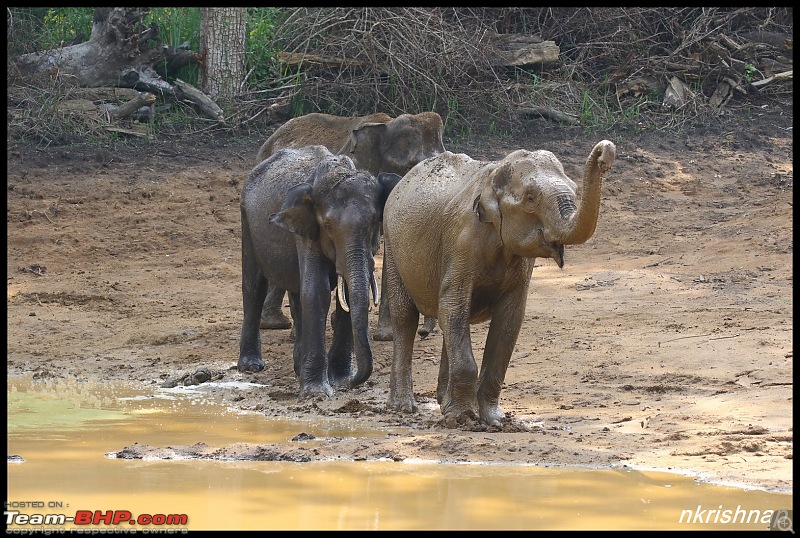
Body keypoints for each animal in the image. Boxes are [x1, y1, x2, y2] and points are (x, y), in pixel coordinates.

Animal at [238, 144, 400, 396]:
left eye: (374, 222)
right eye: (328, 226)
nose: (355, 382)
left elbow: (344, 294)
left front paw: (340, 380)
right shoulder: (307, 231)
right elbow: (317, 290)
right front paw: (317, 392)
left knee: (296, 293)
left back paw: (298, 368)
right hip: (247, 221)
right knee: (254, 286)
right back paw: (251, 366)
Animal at [384, 140, 616, 426]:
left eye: (574, 189)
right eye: (530, 198)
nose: (605, 152)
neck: (493, 175)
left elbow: (509, 320)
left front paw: (493, 420)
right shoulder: (461, 242)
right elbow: (453, 303)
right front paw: (463, 420)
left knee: (448, 321)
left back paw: (442, 403)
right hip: (392, 246)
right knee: (406, 317)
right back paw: (403, 407)